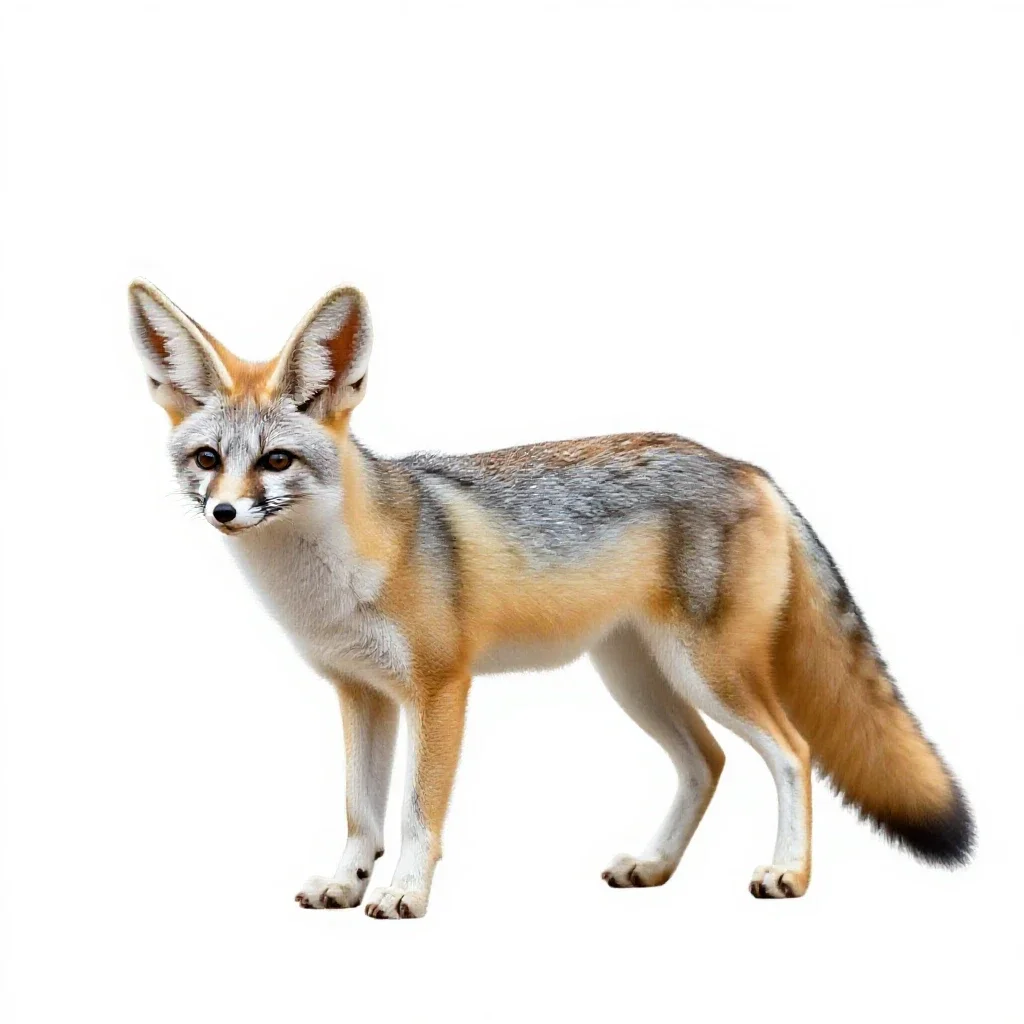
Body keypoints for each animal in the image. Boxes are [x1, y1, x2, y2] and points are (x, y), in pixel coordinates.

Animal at [129, 279, 974, 918]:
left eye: (276, 461)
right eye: (207, 459)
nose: (224, 513)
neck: (331, 579)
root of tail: (746, 465)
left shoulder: (439, 690)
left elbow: (415, 814)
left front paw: (403, 893)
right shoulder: (360, 695)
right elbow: (359, 813)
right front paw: (345, 882)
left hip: (710, 673)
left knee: (792, 753)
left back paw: (787, 874)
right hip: (637, 679)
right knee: (707, 762)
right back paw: (653, 867)